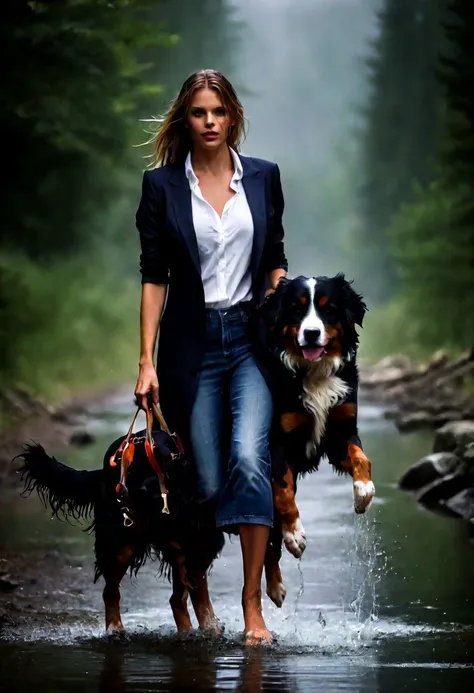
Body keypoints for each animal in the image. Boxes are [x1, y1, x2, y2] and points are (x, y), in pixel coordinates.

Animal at [262, 274, 376, 608]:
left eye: (329, 308)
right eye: (296, 309)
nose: (311, 334)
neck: (314, 372)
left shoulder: (340, 433)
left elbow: (360, 457)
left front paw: (363, 492)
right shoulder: (277, 443)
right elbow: (284, 493)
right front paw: (296, 535)